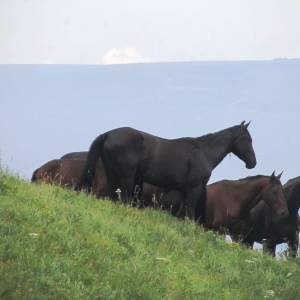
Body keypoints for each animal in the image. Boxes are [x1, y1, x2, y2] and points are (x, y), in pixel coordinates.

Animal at [76, 120, 256, 221]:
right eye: (248, 139)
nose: (253, 162)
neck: (204, 151)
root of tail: (108, 134)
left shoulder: (184, 191)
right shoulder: (194, 189)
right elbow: (189, 213)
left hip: (112, 175)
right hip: (127, 177)